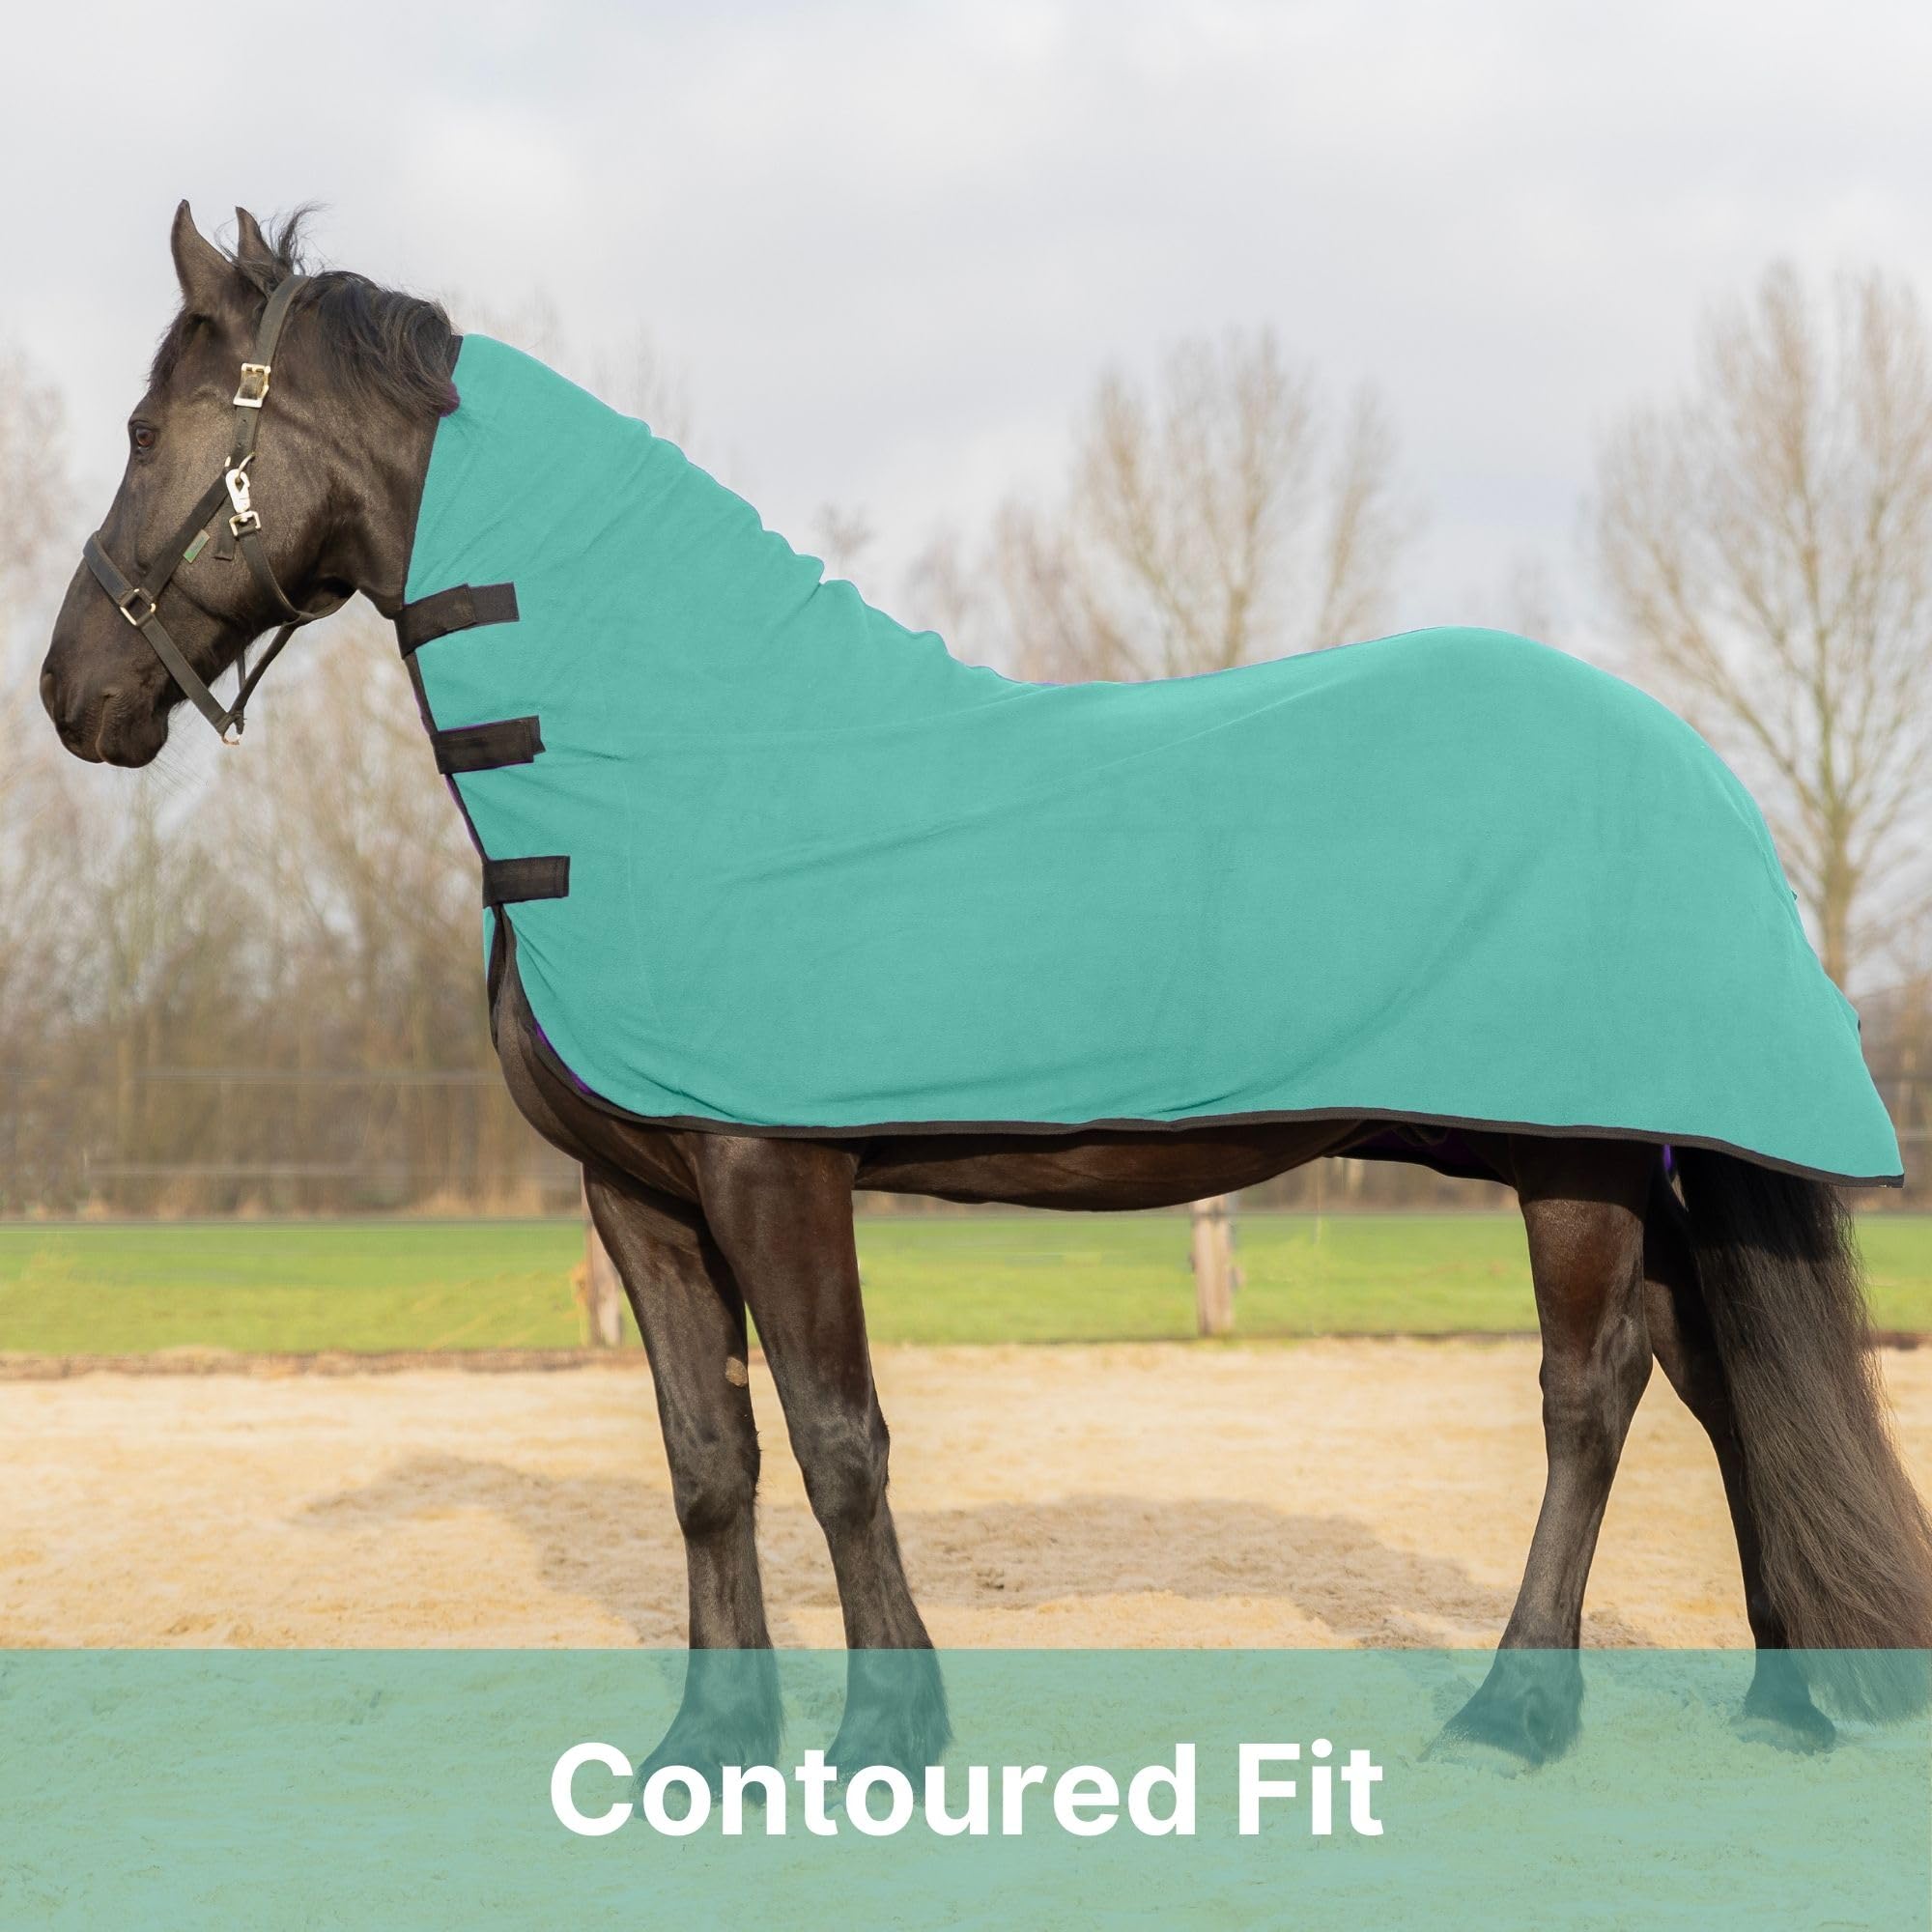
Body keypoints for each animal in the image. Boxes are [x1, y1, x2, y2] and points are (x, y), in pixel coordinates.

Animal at [39, 203, 1932, 1778]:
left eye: (144, 434)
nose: (73, 696)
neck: (673, 755)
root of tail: (1695, 769)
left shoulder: (771, 1167)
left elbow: (836, 1439)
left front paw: (888, 1733)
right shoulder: (636, 1192)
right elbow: (706, 1459)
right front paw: (708, 1747)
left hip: (1574, 1164)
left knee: (1591, 1399)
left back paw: (1514, 1715)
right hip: (1606, 1149)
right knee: (1712, 1372)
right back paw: (1782, 1706)